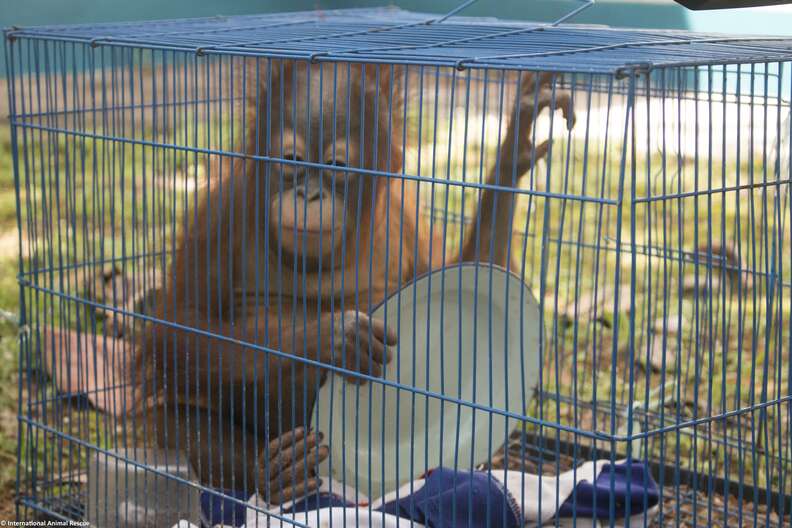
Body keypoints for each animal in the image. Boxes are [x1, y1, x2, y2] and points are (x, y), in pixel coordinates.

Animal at [137, 61, 574, 501]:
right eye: (291, 159)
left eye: (337, 167)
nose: (309, 195)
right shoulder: (220, 214)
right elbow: (176, 327)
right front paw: (332, 336)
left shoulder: (406, 217)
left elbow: (471, 265)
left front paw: (515, 148)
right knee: (176, 424)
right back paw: (279, 474)